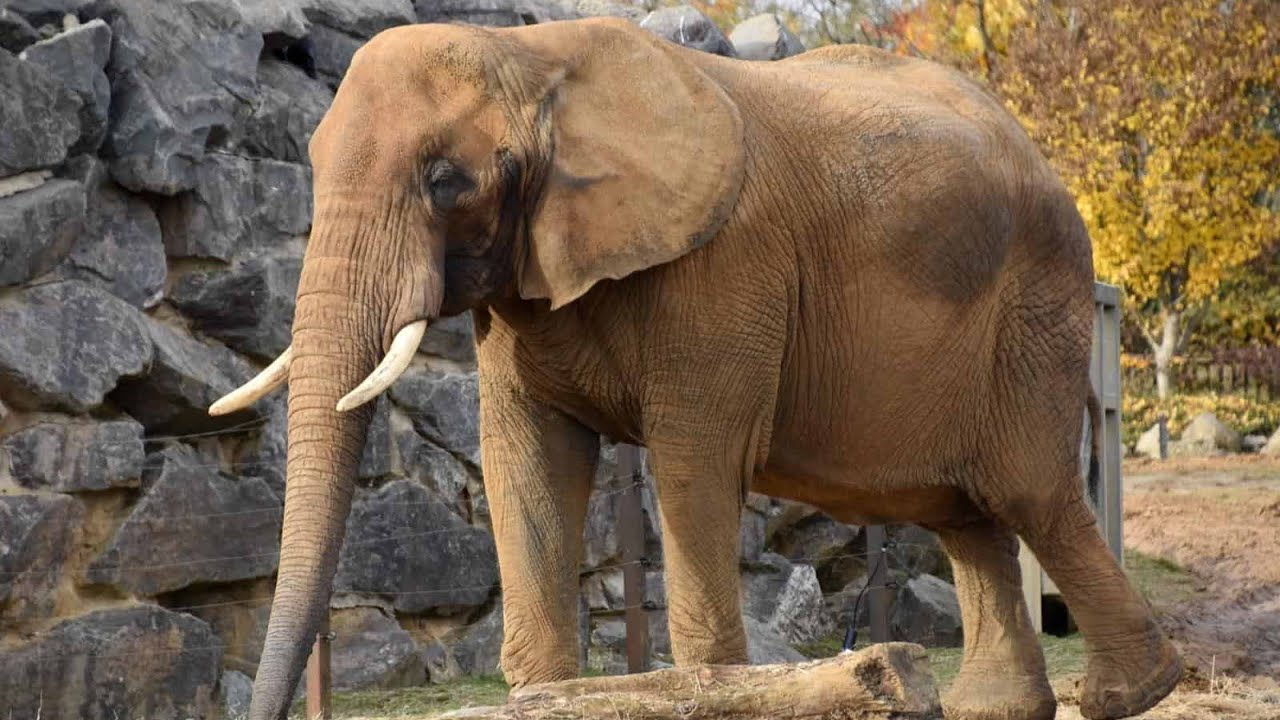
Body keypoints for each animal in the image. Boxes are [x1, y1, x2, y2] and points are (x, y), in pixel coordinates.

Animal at [209, 17, 1182, 720]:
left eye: (447, 180)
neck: (532, 56)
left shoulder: (725, 270)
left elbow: (692, 463)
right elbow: (528, 463)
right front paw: (547, 700)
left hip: (1036, 304)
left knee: (1028, 492)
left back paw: (1137, 693)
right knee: (965, 512)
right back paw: (1001, 709)